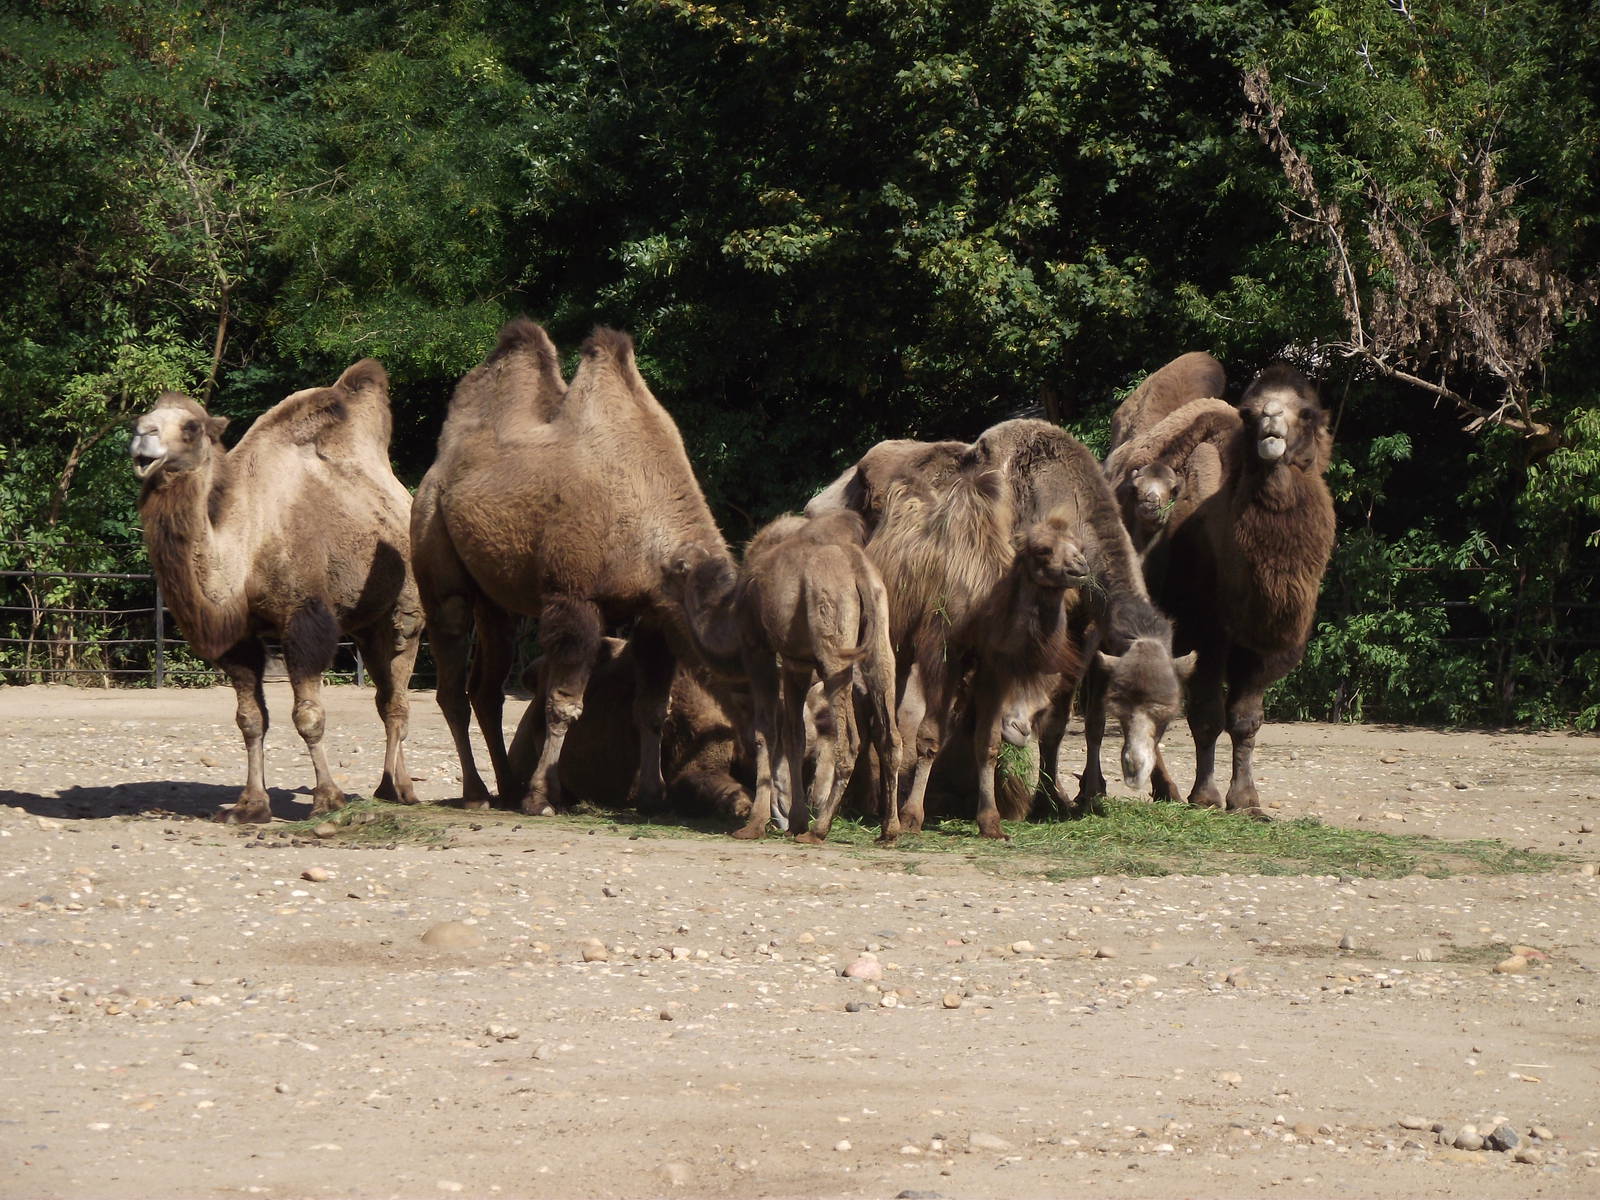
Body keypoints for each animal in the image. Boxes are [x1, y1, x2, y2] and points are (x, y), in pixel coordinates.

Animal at [129, 363, 422, 823]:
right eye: (141, 418)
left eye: (191, 427)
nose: (143, 434)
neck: (246, 547)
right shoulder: (240, 637)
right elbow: (250, 719)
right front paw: (250, 805)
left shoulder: (303, 619)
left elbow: (308, 716)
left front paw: (328, 798)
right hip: (365, 624)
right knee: (384, 696)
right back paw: (390, 786)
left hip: (405, 610)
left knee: (398, 698)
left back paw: (399, 789)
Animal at [411, 319, 736, 815]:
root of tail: (436, 473)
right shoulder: (573, 597)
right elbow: (563, 704)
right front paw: (542, 797)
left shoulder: (655, 609)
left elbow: (652, 708)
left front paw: (652, 796)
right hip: (434, 545)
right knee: (452, 677)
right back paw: (478, 793)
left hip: (495, 600)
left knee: (487, 687)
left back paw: (507, 786)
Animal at [668, 510, 901, 844]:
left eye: (674, 568)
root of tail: (857, 570)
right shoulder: (796, 664)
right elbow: (795, 736)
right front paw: (795, 822)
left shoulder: (758, 649)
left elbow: (765, 731)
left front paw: (754, 824)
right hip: (880, 631)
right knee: (889, 730)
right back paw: (888, 831)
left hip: (831, 637)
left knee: (848, 740)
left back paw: (820, 829)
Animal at [1102, 366, 1336, 814]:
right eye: (1250, 412)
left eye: (1307, 412)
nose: (1271, 421)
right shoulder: (1204, 633)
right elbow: (1208, 716)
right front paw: (1206, 796)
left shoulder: (1261, 648)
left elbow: (1246, 720)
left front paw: (1246, 801)